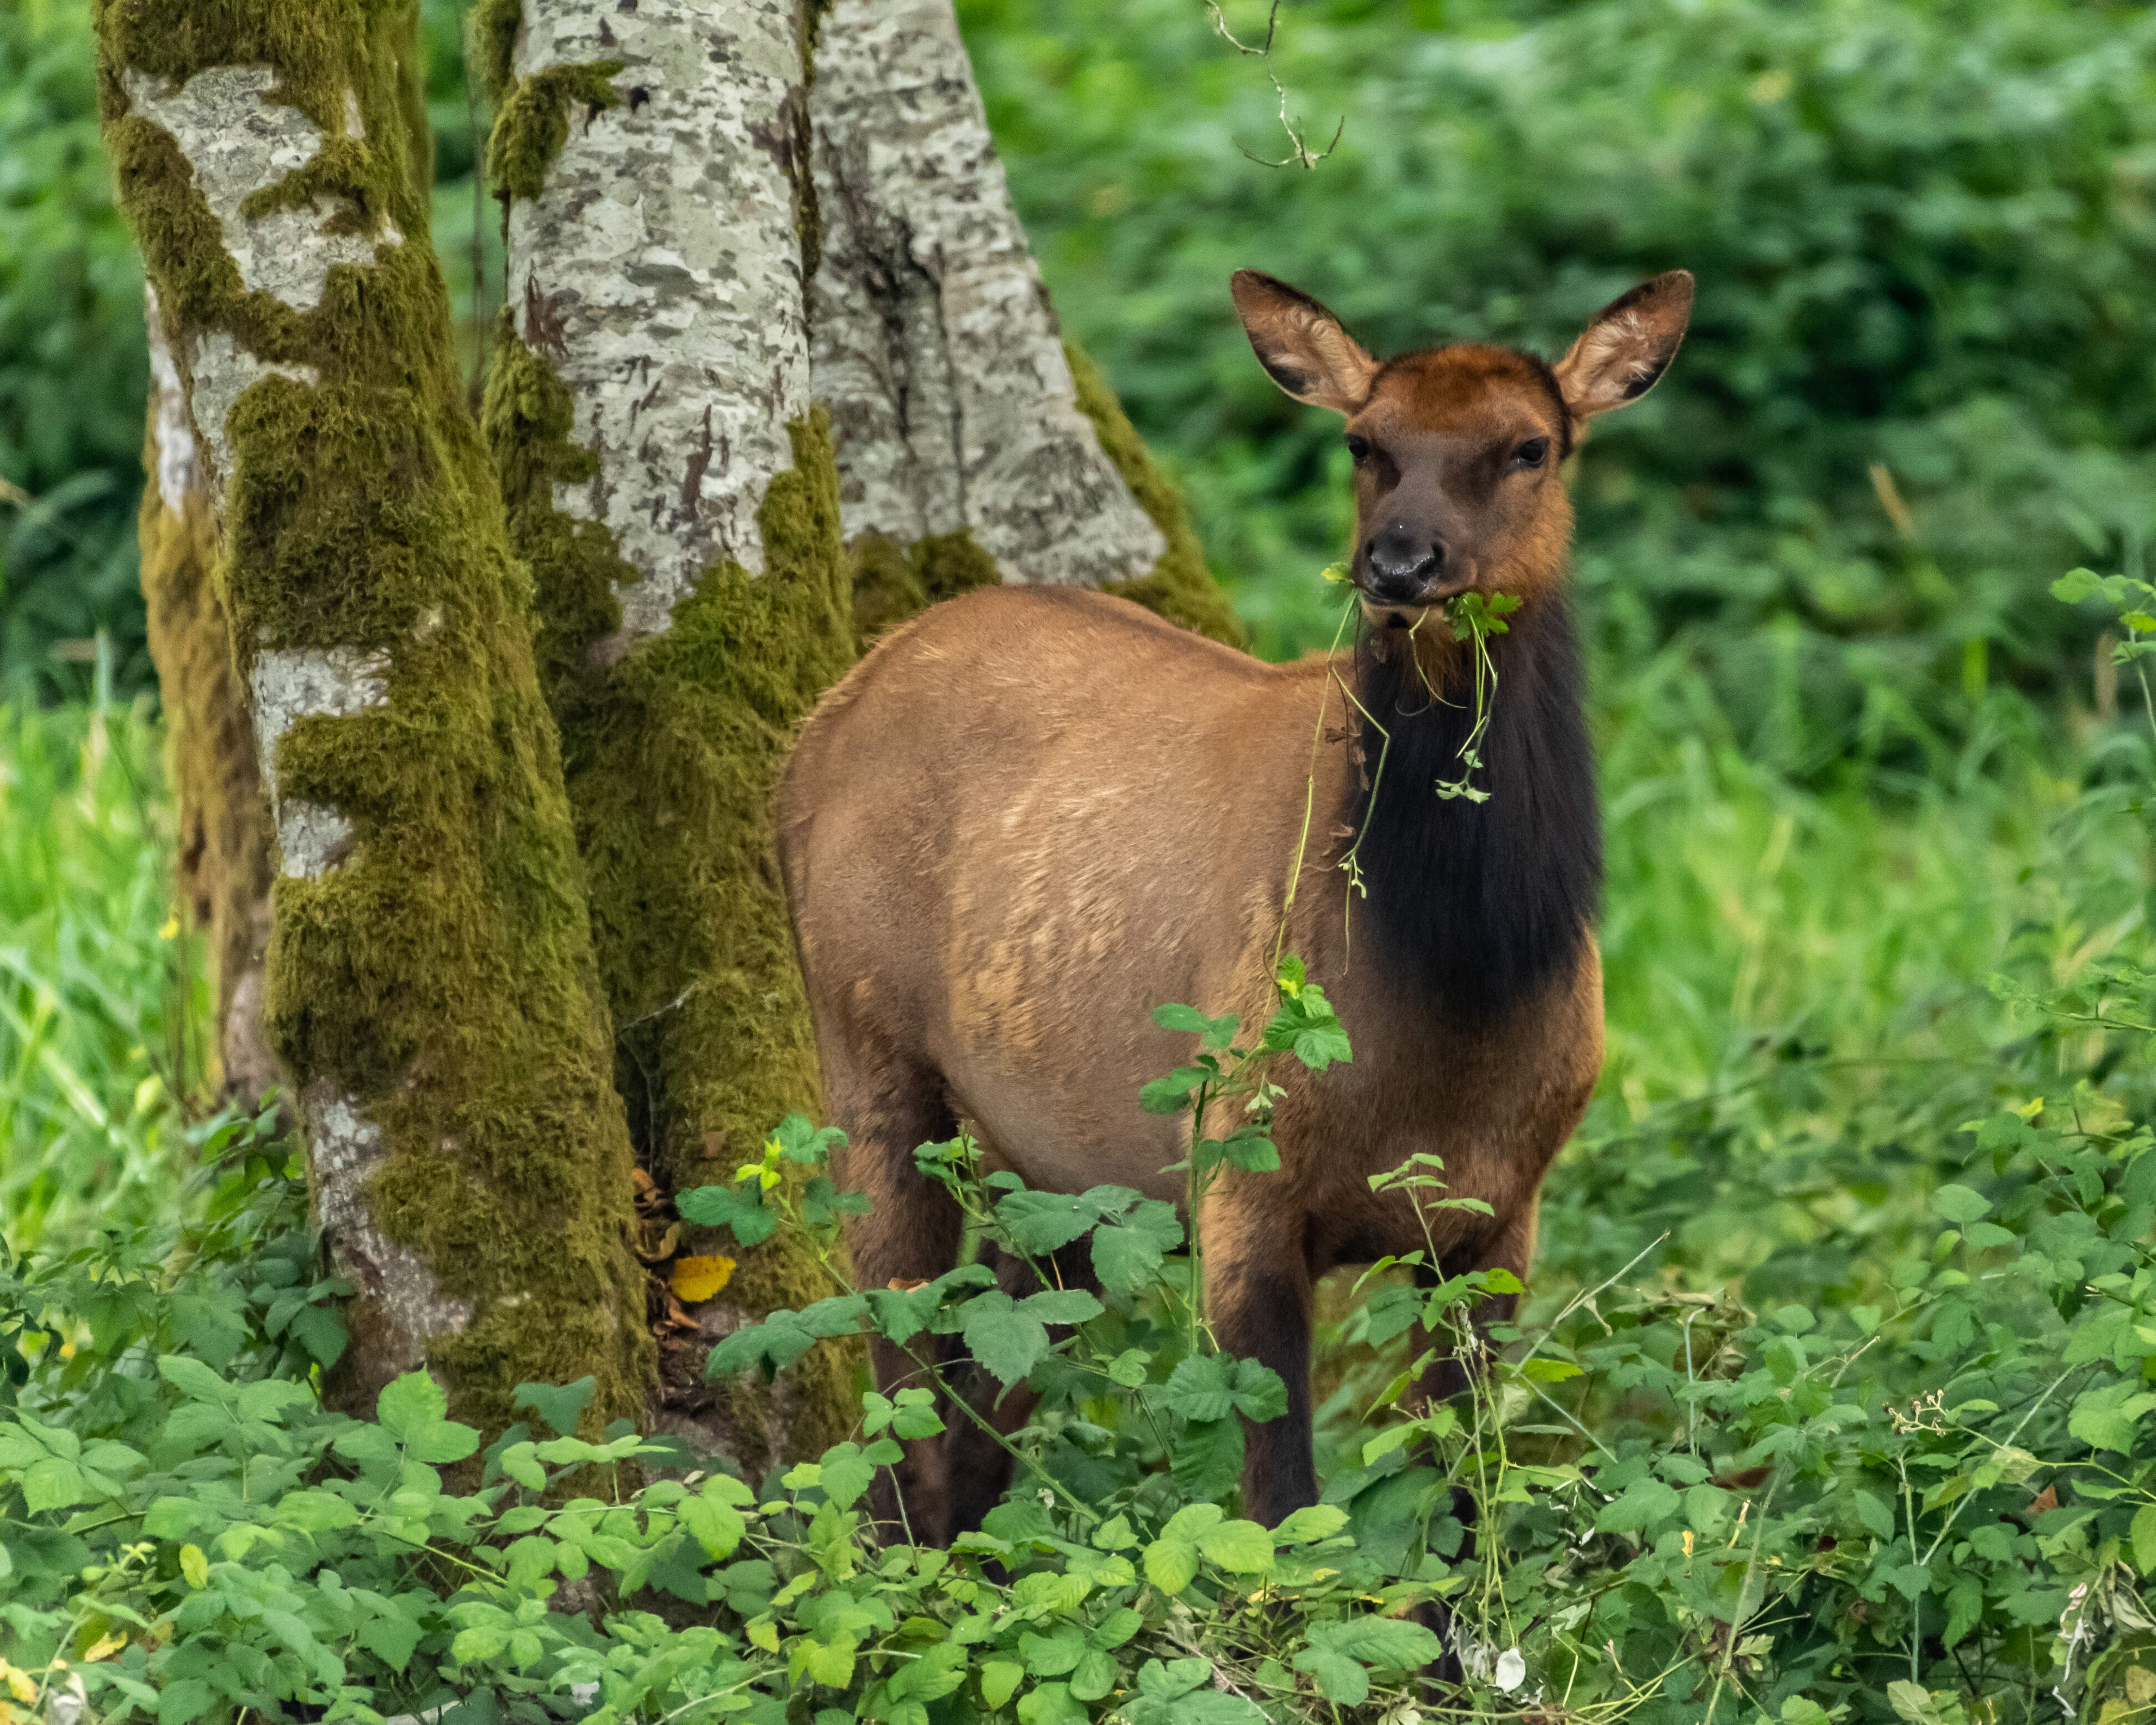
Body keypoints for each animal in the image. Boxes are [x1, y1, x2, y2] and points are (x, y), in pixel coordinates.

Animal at [777, 267, 1694, 1544]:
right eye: (1364, 440)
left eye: (1529, 447)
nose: (1398, 567)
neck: (1462, 977)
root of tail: (815, 727)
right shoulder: (1239, 1166)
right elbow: (1281, 1503)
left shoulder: (1501, 1211)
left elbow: (1462, 1496)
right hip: (864, 1045)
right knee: (901, 1383)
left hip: (1062, 1174)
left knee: (978, 1410)